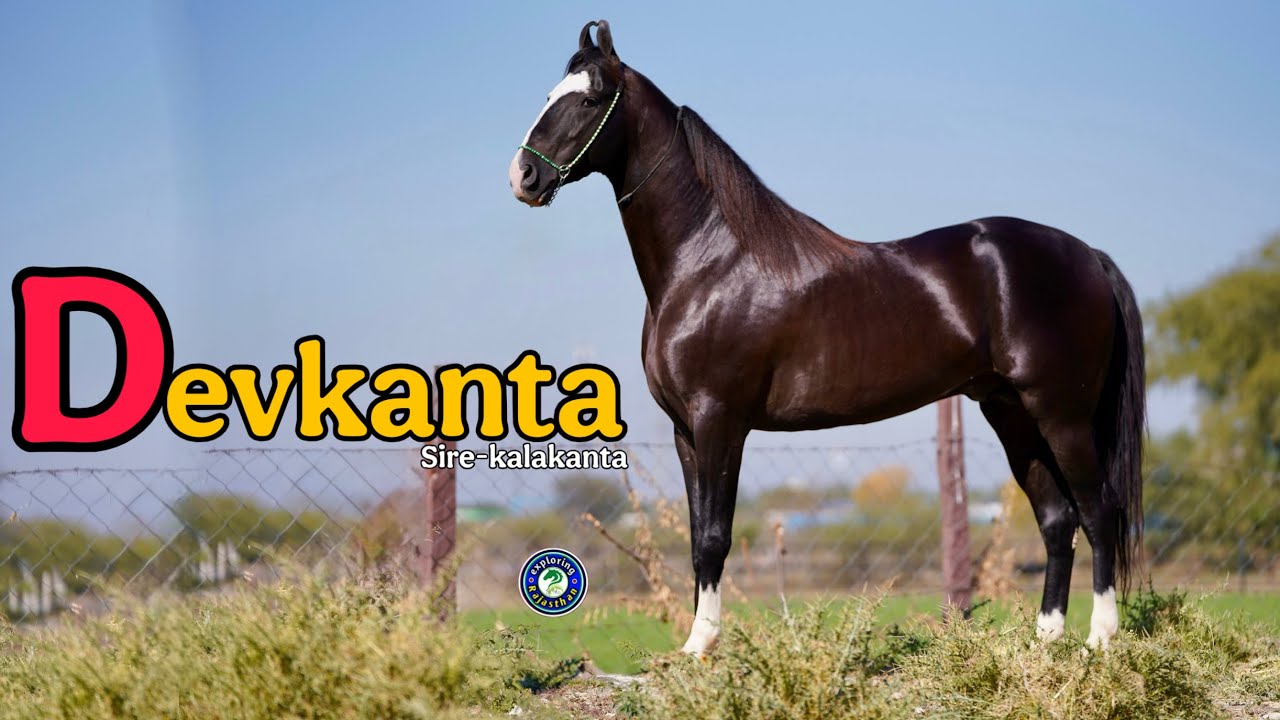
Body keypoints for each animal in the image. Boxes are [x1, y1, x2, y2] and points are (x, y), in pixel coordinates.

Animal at [509, 20, 1145, 657]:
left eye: (589, 101)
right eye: (548, 94)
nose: (523, 176)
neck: (708, 263)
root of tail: (1087, 255)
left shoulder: (719, 421)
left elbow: (714, 536)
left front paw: (700, 646)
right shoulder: (685, 431)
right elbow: (694, 537)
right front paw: (695, 647)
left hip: (1061, 414)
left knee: (1099, 511)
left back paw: (1099, 640)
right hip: (1011, 413)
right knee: (1057, 519)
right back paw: (1045, 642)